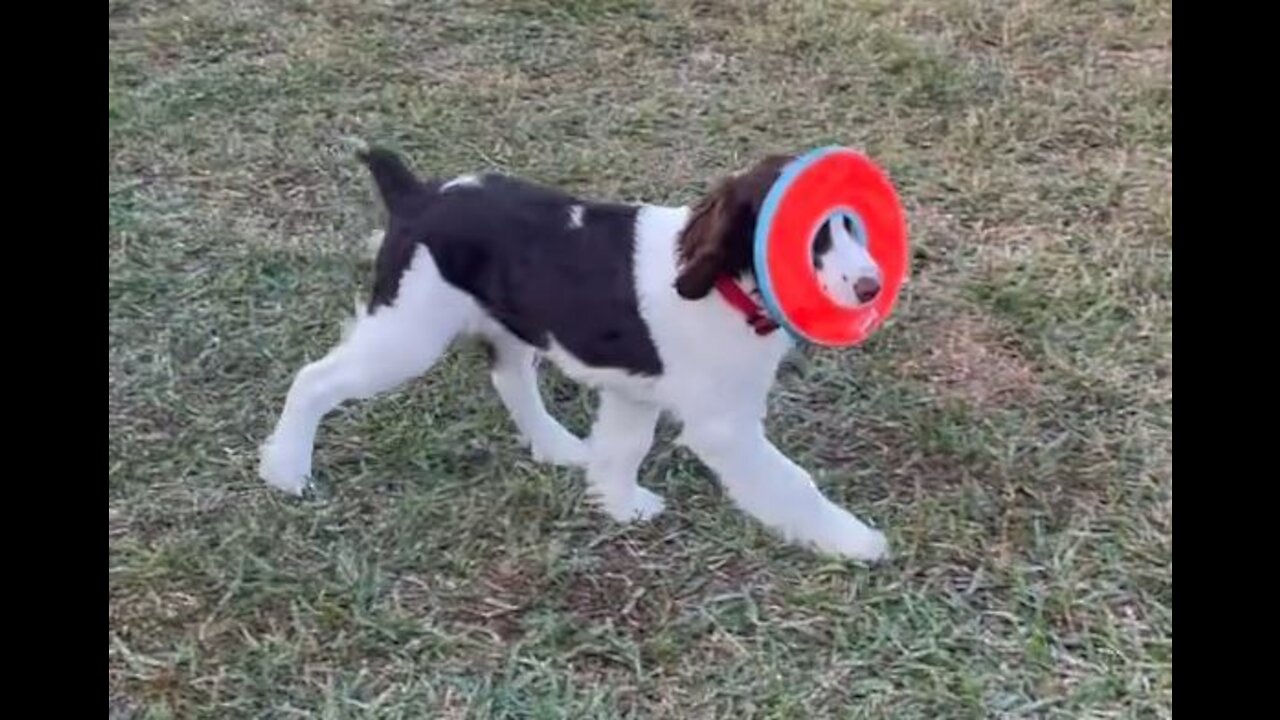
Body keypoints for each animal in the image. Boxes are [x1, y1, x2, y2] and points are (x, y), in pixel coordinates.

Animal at [259, 146, 890, 561]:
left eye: (853, 224)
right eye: (810, 236)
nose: (871, 288)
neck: (724, 283)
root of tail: (416, 196)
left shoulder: (635, 389)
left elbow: (624, 446)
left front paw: (618, 504)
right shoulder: (724, 425)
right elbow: (791, 483)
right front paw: (855, 541)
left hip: (502, 323)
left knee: (510, 379)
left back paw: (558, 446)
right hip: (408, 331)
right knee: (315, 379)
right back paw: (286, 469)